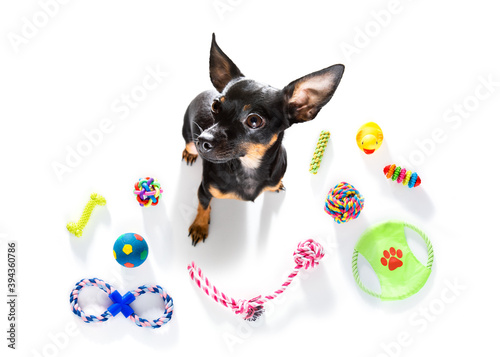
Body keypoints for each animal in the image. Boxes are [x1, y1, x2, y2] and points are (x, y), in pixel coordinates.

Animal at [183, 34, 344, 245]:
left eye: (254, 120)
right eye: (215, 106)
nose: (203, 139)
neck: (248, 167)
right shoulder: (204, 190)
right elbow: (203, 206)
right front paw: (200, 226)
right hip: (189, 140)